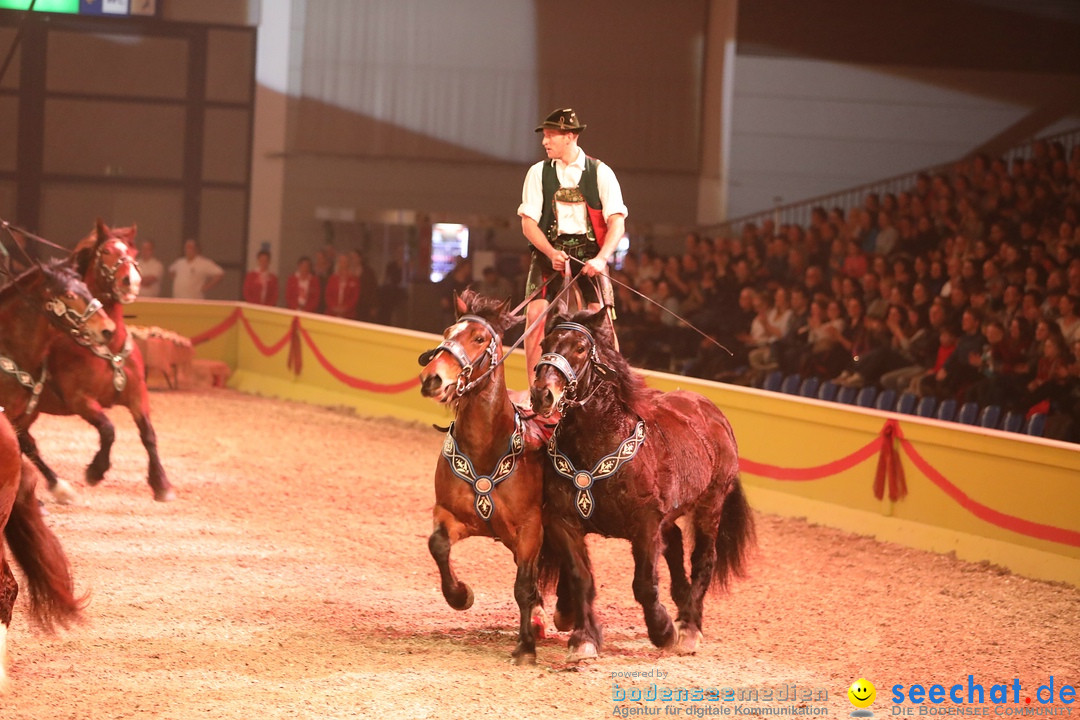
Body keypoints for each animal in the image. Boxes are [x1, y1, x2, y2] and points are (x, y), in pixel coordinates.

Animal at [18, 222, 177, 505]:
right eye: (106, 251)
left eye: (133, 252)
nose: (131, 280)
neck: (109, 347)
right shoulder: (80, 400)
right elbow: (108, 430)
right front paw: (96, 470)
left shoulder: (137, 394)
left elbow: (148, 433)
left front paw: (161, 483)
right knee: (26, 442)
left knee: (25, 440)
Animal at [419, 289, 557, 669]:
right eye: (448, 331)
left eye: (479, 338)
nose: (432, 378)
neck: (488, 448)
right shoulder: (450, 514)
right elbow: (437, 545)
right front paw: (460, 595)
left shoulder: (530, 529)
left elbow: (523, 586)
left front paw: (526, 648)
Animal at [529, 306, 751, 660]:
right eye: (545, 343)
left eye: (581, 348)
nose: (542, 394)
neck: (600, 444)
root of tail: (713, 413)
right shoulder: (564, 521)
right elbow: (581, 577)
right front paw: (583, 638)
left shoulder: (646, 523)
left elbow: (644, 584)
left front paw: (663, 631)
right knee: (675, 546)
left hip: (710, 506)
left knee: (703, 560)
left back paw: (689, 627)